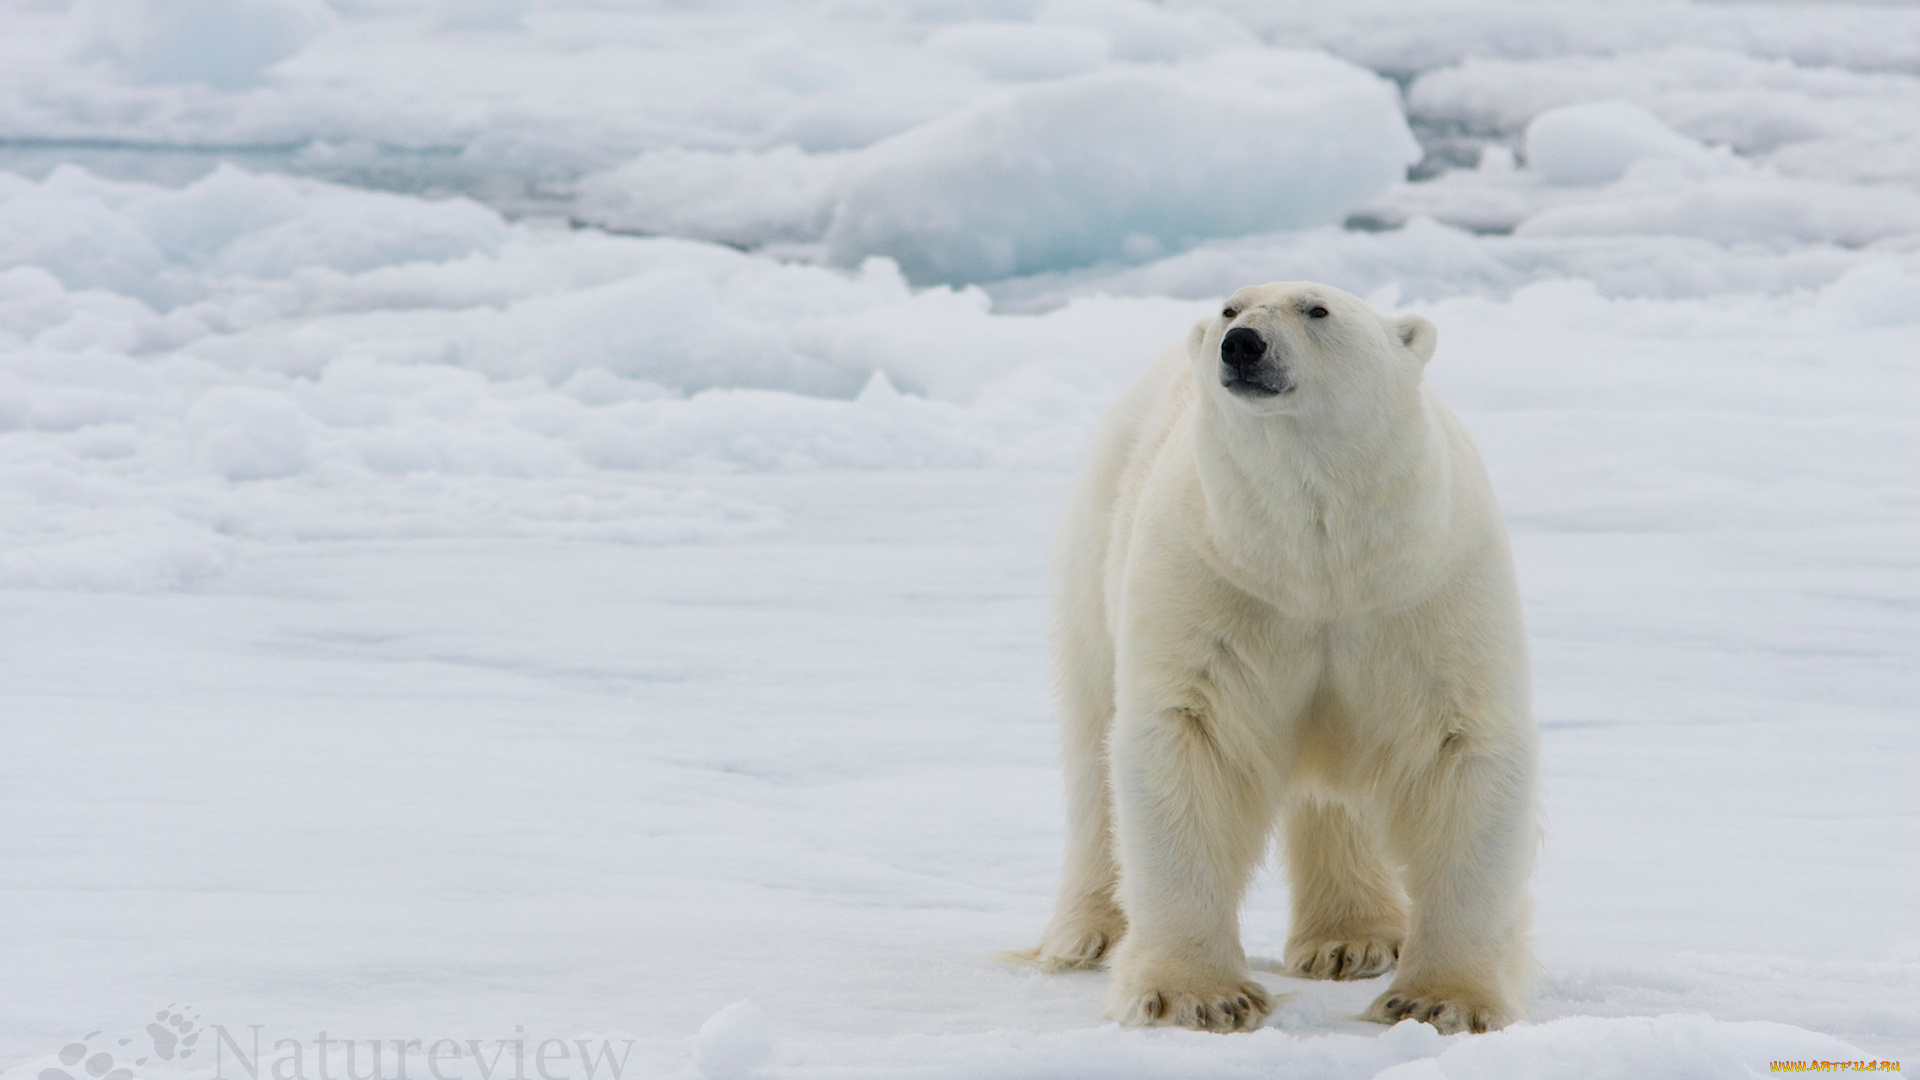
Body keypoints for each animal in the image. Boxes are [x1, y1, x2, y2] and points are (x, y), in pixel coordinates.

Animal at [1029, 278, 1536, 1037]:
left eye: (1317, 309)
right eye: (1230, 309)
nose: (1241, 344)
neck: (1317, 559)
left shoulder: (1425, 592)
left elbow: (1462, 751)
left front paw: (1442, 1001)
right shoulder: (1214, 585)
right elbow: (1189, 743)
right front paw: (1197, 997)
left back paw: (1353, 939)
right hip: (1096, 546)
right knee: (1093, 749)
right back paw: (1083, 935)